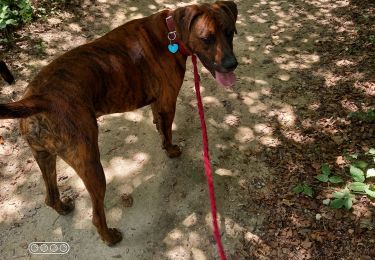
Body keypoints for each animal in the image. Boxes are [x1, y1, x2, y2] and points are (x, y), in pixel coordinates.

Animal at [0, 1, 239, 246]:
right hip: (90, 165)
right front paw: (171, 150)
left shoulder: (157, 103)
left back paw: (63, 207)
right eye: (207, 38)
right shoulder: (167, 102)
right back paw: (110, 237)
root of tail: (37, 99)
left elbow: (160, 125)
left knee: (51, 196)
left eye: (230, 32)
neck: (171, 32)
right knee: (96, 215)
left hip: (44, 157)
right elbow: (168, 132)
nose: (232, 64)